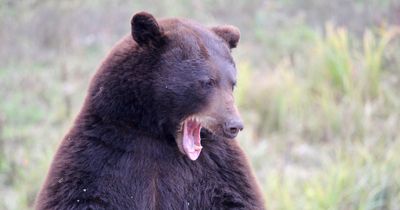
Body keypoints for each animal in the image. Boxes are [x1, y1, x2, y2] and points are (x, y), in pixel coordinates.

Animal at [35, 11, 266, 210]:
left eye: (232, 83)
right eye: (207, 82)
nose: (234, 125)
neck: (157, 135)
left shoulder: (217, 166)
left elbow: (235, 196)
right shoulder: (99, 155)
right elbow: (79, 195)